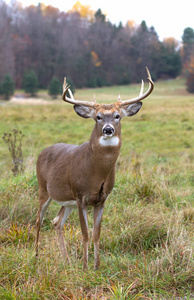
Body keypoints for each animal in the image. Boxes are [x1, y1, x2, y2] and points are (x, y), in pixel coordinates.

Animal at [34, 67, 153, 270]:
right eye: (98, 117)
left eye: (117, 116)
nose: (108, 129)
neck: (96, 172)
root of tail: (42, 152)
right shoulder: (81, 195)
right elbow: (85, 234)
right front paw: (84, 267)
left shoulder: (101, 198)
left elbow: (97, 234)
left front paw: (96, 266)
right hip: (44, 190)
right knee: (38, 220)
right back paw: (35, 257)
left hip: (67, 202)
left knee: (57, 222)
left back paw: (66, 261)